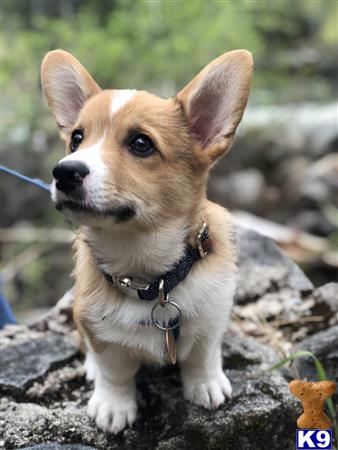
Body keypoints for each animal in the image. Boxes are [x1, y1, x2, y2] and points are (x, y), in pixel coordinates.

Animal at [41, 48, 254, 432]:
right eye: (77, 138)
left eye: (141, 143)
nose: (64, 171)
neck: (151, 276)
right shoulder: (101, 333)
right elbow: (115, 371)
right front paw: (113, 405)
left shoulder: (214, 317)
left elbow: (203, 355)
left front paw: (206, 385)